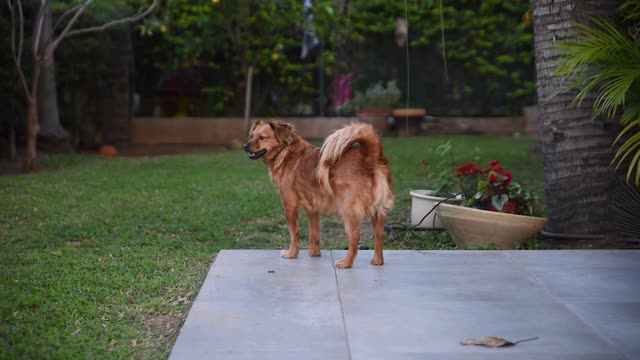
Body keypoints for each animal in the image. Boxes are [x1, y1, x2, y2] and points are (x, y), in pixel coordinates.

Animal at [244, 121, 396, 268]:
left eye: (262, 137)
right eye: (251, 136)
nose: (244, 146)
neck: (286, 151)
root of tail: (370, 157)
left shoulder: (290, 206)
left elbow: (294, 234)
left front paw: (292, 253)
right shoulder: (312, 209)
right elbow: (314, 234)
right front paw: (314, 253)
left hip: (349, 210)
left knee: (355, 238)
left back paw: (346, 263)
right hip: (378, 212)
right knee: (379, 236)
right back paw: (377, 261)